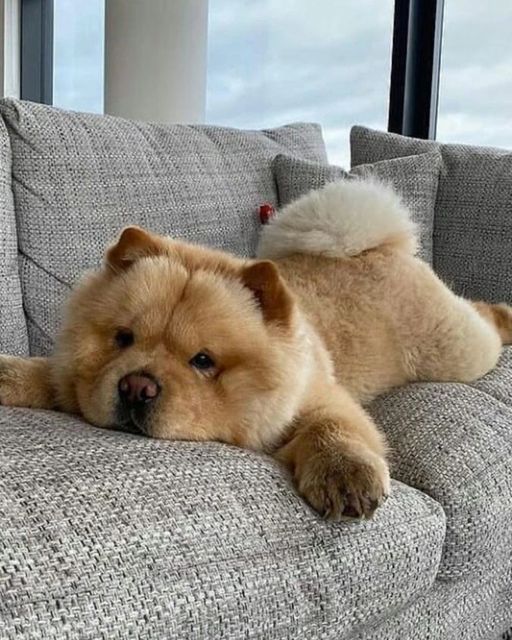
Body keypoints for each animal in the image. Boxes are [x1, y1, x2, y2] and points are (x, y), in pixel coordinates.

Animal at [1, 179, 512, 520]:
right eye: (123, 339)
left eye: (203, 361)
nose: (135, 387)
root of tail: (373, 248)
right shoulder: (74, 376)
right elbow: (49, 374)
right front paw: (10, 374)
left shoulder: (322, 400)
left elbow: (334, 428)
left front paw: (346, 478)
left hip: (457, 348)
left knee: (482, 318)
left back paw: (505, 314)